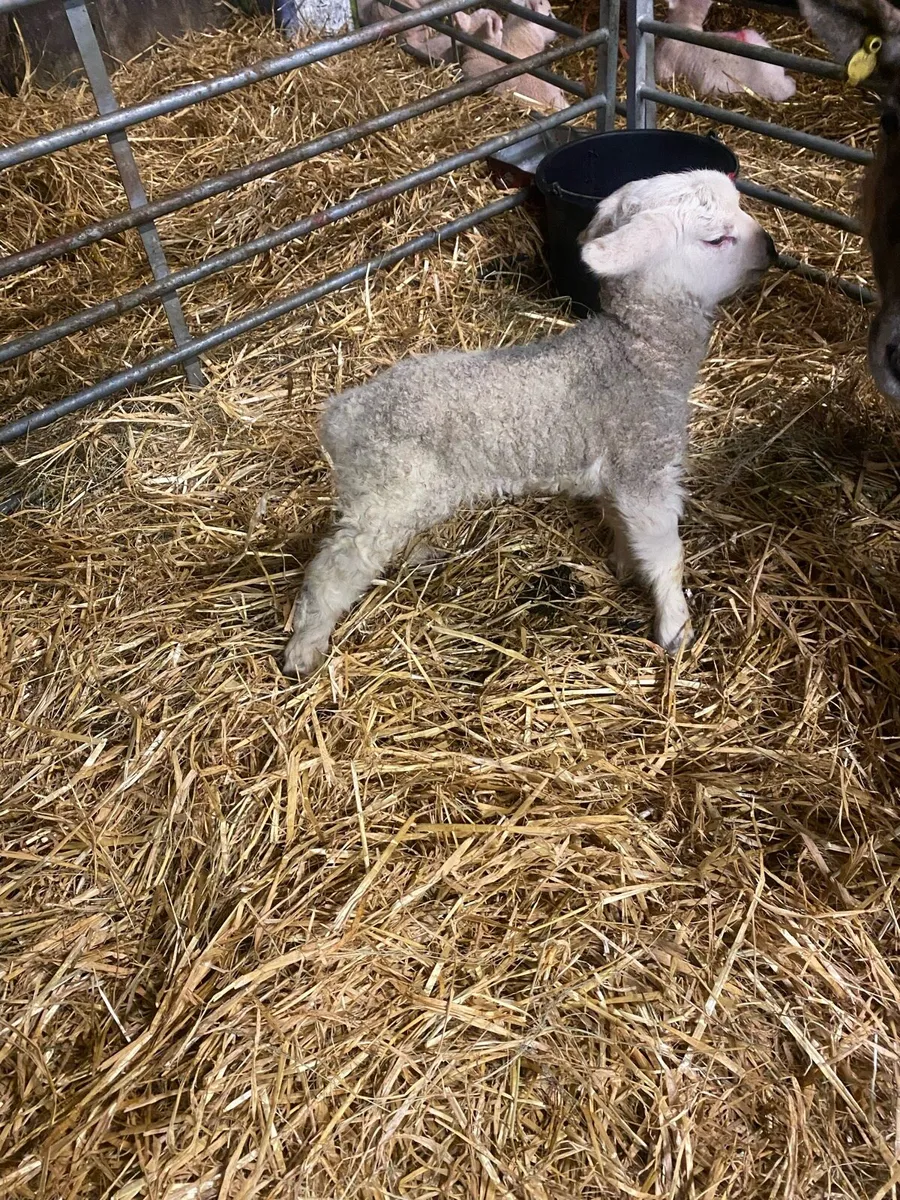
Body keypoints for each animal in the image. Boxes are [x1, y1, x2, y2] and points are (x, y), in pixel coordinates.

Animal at [282, 170, 776, 678]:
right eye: (717, 239)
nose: (772, 249)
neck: (634, 353)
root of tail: (343, 413)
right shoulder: (646, 467)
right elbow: (666, 555)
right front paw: (676, 627)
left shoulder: (619, 475)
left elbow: (623, 527)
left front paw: (623, 565)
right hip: (388, 493)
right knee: (336, 566)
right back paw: (304, 647)